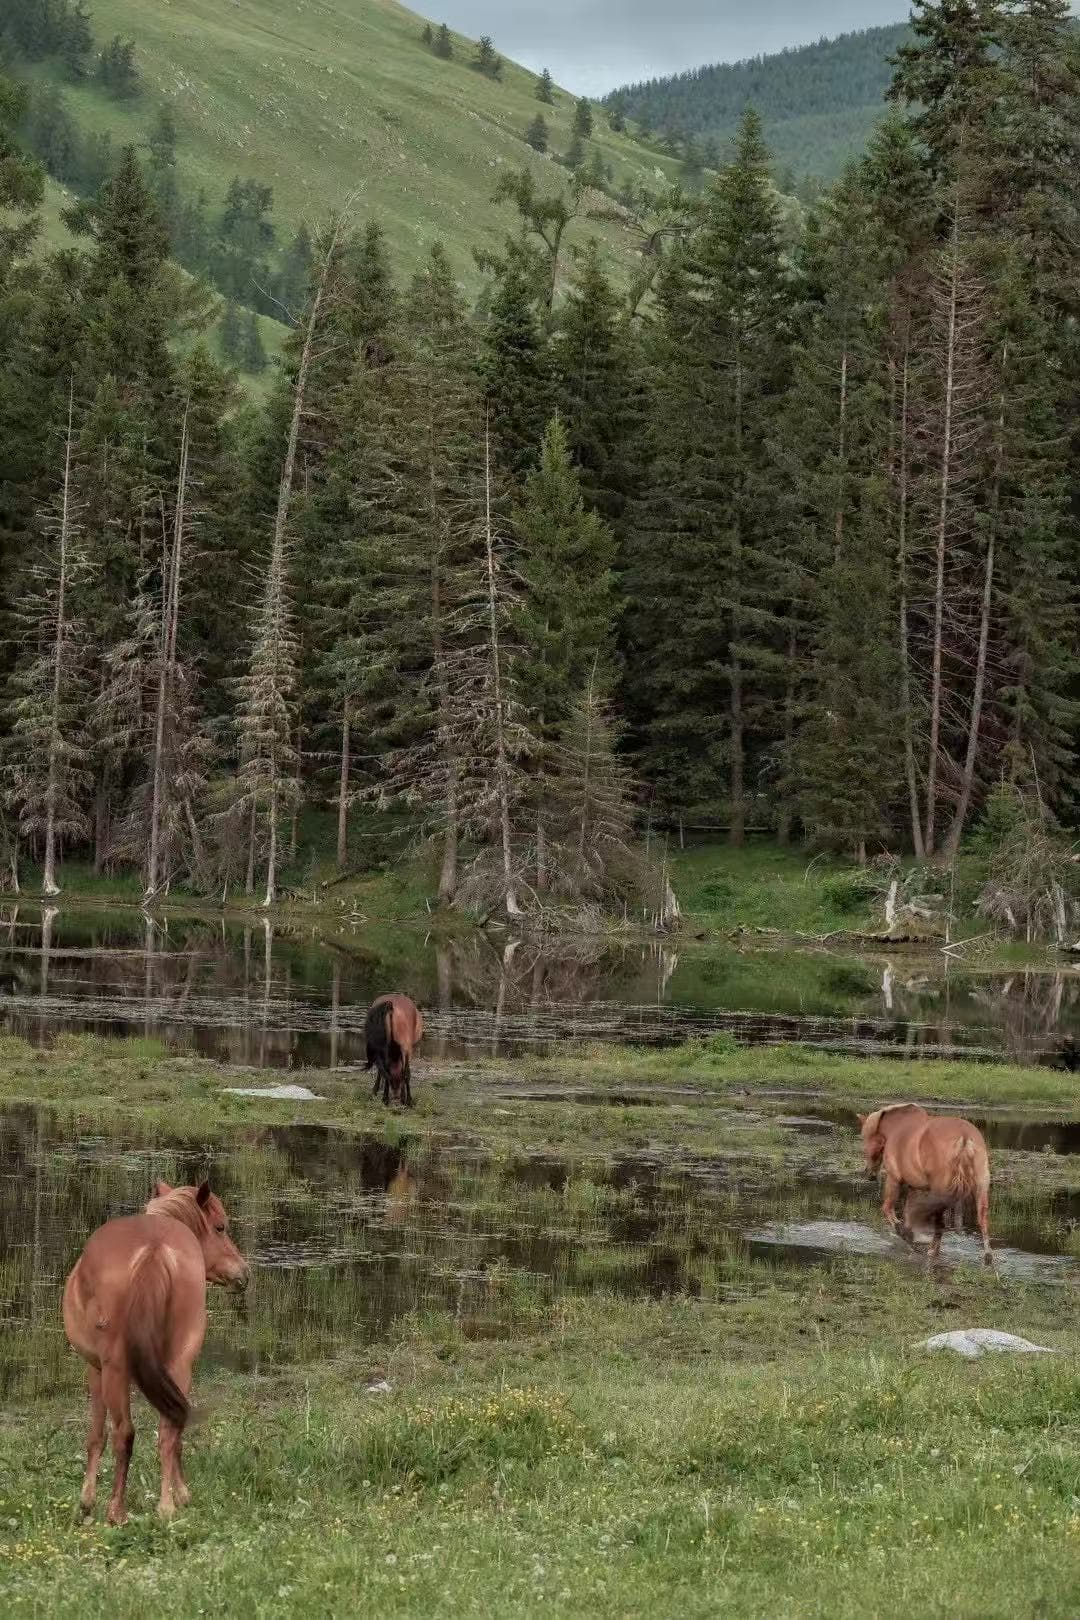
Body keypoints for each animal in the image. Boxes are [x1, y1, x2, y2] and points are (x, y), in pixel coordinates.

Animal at [63, 1180, 249, 1525]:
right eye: (221, 1227)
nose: (243, 1273)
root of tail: (154, 1248)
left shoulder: (95, 1369)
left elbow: (96, 1436)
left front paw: (86, 1501)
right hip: (180, 1365)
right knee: (169, 1430)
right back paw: (167, 1505)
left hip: (115, 1369)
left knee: (125, 1433)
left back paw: (117, 1512)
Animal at [858, 1103, 992, 1266]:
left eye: (865, 1141)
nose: (869, 1174)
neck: (897, 1127)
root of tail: (965, 1137)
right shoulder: (914, 1187)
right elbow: (908, 1212)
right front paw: (909, 1234)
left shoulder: (894, 1179)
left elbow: (887, 1208)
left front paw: (904, 1233)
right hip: (980, 1188)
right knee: (982, 1219)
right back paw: (987, 1257)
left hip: (941, 1192)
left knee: (940, 1224)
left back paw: (932, 1251)